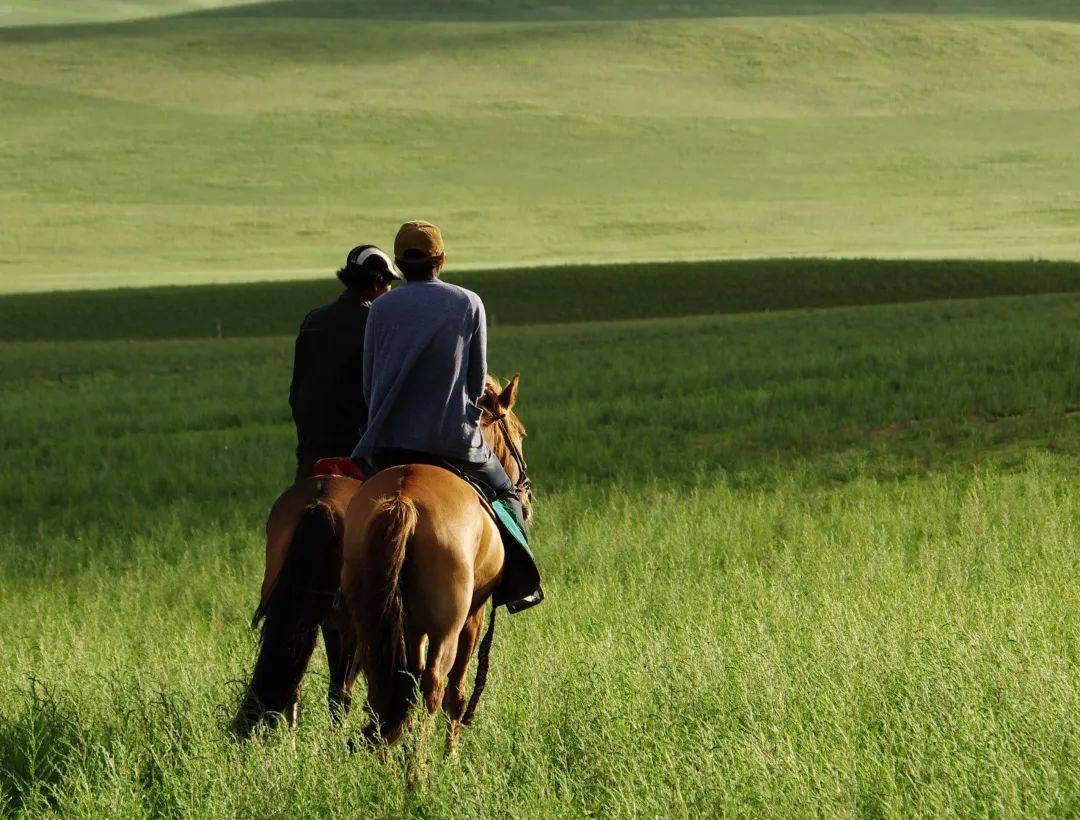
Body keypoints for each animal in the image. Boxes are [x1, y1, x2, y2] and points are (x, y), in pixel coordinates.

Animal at [341, 375, 531, 751]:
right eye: (520, 433)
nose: (528, 499)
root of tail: (402, 501)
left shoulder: (412, 626)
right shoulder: (474, 615)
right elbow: (456, 693)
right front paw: (450, 755)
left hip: (371, 619)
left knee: (384, 684)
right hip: (448, 626)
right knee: (434, 686)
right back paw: (420, 764)